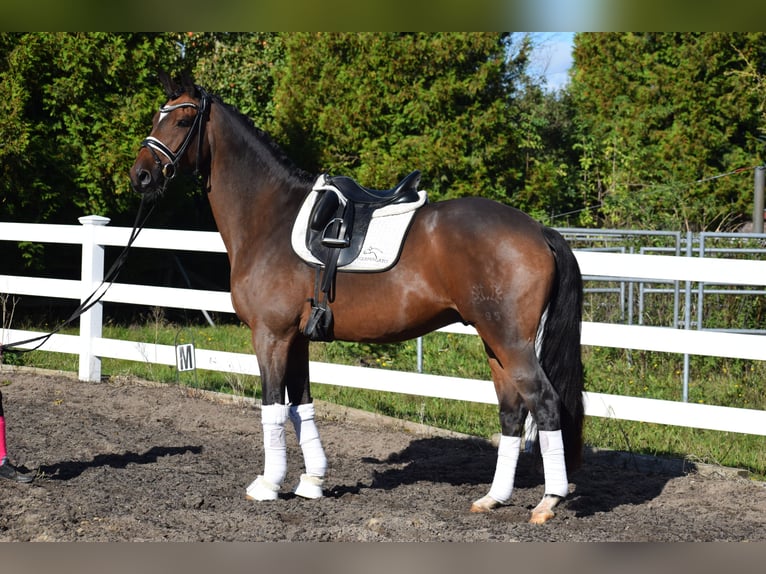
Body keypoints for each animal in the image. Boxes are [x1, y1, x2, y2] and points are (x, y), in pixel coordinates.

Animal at [132, 73, 588, 528]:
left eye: (182, 119)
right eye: (157, 116)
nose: (141, 176)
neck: (270, 218)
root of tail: (538, 230)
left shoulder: (270, 335)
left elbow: (273, 407)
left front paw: (268, 484)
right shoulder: (297, 338)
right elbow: (301, 406)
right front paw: (312, 482)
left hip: (511, 343)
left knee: (545, 403)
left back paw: (548, 501)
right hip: (495, 344)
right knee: (512, 411)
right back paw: (493, 497)